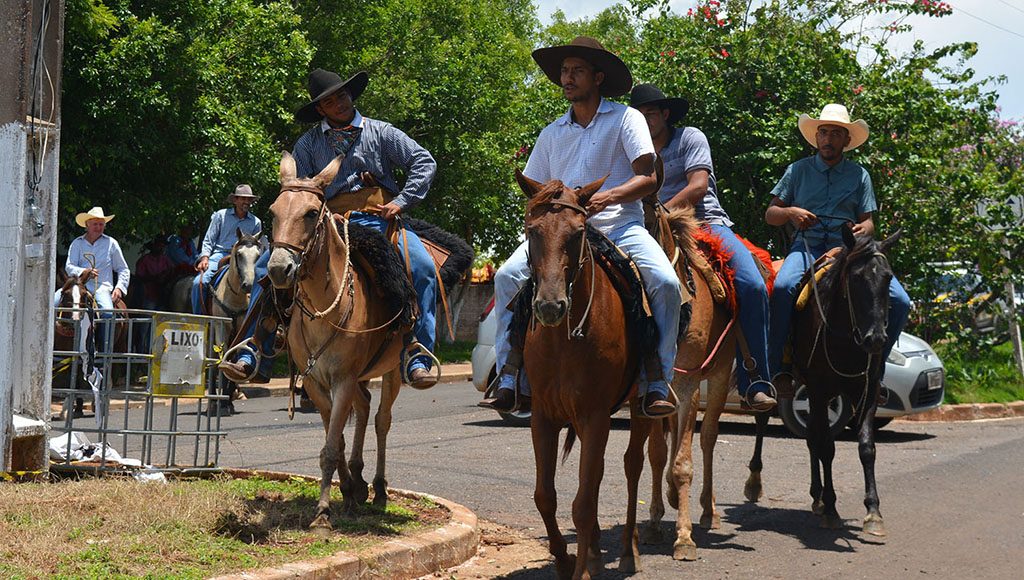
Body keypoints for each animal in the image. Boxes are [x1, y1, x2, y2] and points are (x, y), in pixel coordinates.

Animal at [267, 151, 413, 529]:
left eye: (309, 213)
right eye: (273, 211)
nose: (278, 269)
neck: (324, 309)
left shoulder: (343, 379)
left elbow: (332, 446)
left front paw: (323, 512)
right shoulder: (316, 383)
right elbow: (336, 440)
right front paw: (347, 490)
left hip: (390, 371)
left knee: (381, 420)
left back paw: (379, 488)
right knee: (363, 407)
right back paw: (360, 480)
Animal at [515, 170, 661, 579]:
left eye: (578, 232)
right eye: (531, 230)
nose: (550, 306)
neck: (563, 340)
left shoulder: (595, 416)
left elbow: (582, 503)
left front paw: (579, 569)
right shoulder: (544, 417)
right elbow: (545, 496)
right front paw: (565, 559)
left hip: (639, 408)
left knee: (632, 465)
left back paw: (627, 550)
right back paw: (595, 551)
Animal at [642, 206, 774, 561]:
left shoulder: (688, 382)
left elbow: (684, 462)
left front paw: (684, 538)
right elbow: (657, 453)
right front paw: (656, 521)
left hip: (717, 376)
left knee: (708, 437)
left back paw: (707, 512)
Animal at [791, 226, 901, 535]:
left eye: (888, 277)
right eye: (856, 278)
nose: (875, 339)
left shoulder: (867, 392)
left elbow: (867, 448)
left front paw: (873, 511)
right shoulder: (817, 391)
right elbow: (827, 448)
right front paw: (831, 507)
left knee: (812, 437)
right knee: (812, 439)